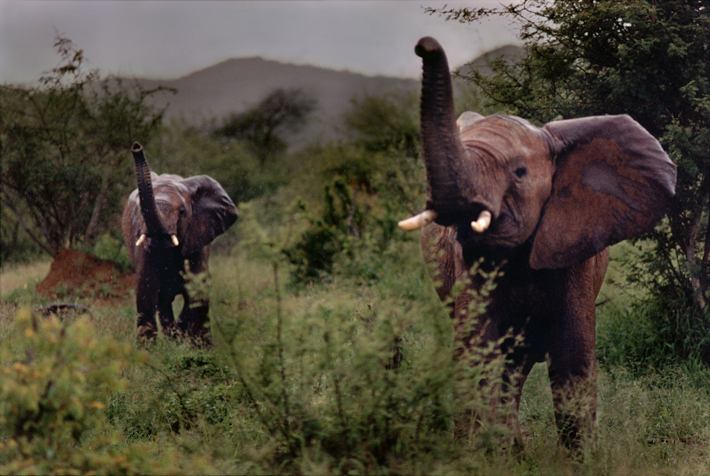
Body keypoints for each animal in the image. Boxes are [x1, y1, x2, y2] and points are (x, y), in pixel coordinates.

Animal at [119, 142, 236, 346]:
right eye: (140, 210)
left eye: (182, 211)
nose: (136, 147)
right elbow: (146, 288)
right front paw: (148, 350)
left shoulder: (197, 238)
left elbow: (198, 288)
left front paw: (195, 345)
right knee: (163, 300)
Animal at [400, 38, 680, 450]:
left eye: (519, 173)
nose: (424, 46)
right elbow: (477, 351)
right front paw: (480, 453)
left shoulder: (574, 250)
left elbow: (572, 356)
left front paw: (581, 458)